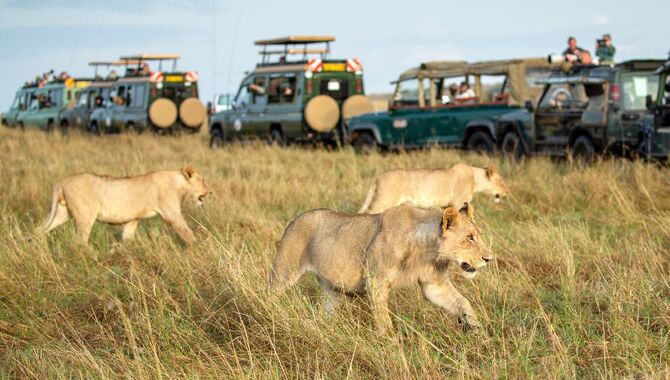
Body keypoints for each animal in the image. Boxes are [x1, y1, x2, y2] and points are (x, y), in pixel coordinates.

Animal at [40, 166, 213, 243]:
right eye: (204, 181)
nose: (211, 192)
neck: (178, 183)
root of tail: (63, 181)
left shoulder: (133, 219)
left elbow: (127, 236)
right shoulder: (172, 213)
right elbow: (187, 232)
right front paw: (199, 246)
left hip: (61, 213)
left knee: (40, 229)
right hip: (85, 216)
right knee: (79, 241)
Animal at [270, 203, 496, 332]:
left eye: (479, 235)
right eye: (470, 238)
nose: (489, 258)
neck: (427, 250)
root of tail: (295, 219)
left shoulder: (435, 284)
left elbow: (463, 302)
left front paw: (475, 326)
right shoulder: (375, 282)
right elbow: (384, 321)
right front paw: (392, 345)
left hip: (332, 291)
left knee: (323, 314)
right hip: (284, 272)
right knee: (271, 293)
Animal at [362, 163, 510, 214]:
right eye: (501, 182)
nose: (507, 192)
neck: (475, 178)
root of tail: (378, 176)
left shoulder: (445, 206)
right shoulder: (458, 202)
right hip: (383, 201)